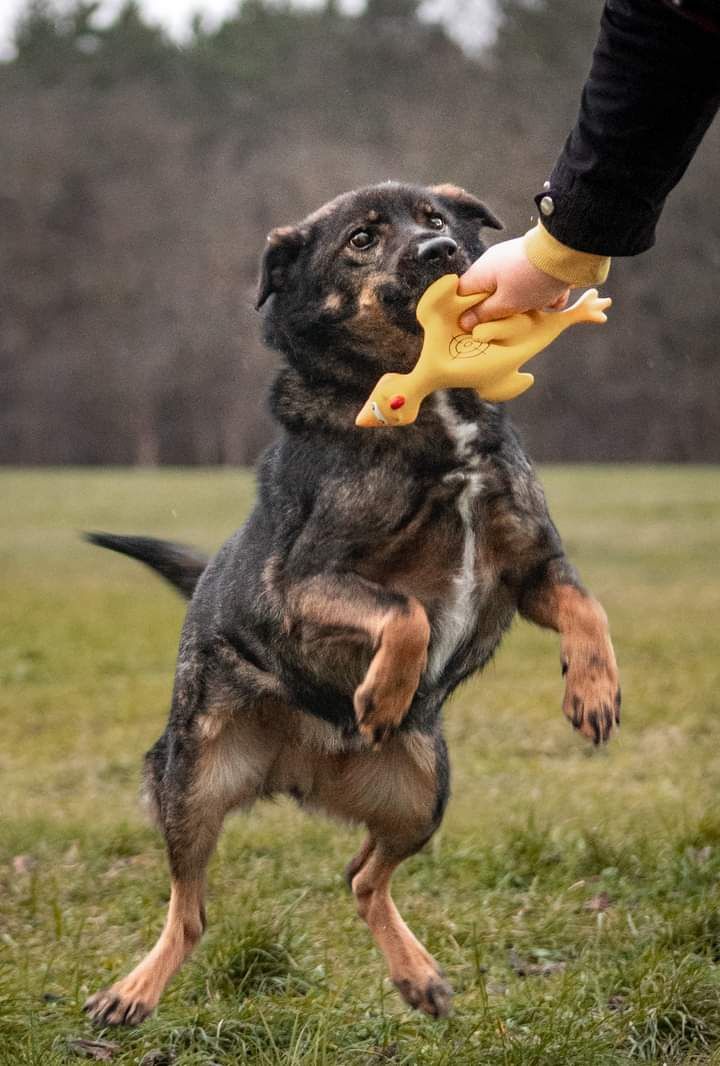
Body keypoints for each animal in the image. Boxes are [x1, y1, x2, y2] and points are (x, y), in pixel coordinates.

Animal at [80, 181, 618, 1023]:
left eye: (436, 219)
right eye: (363, 239)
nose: (441, 252)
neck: (429, 402)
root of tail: (300, 766)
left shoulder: (531, 567)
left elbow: (586, 610)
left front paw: (592, 690)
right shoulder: (301, 583)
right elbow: (407, 612)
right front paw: (385, 690)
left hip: (423, 791)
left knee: (362, 878)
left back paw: (416, 973)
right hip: (190, 781)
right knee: (190, 908)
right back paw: (135, 989)